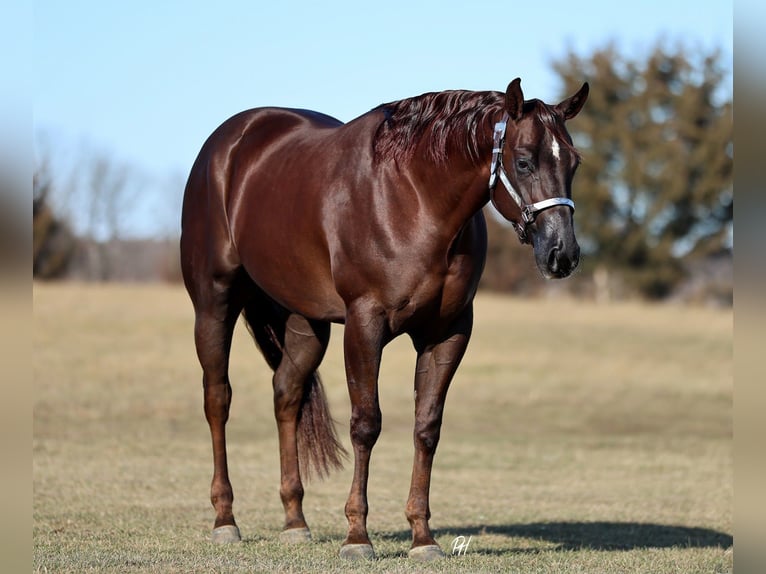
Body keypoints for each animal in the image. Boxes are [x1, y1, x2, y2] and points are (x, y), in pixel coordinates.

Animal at [180, 77, 589, 561]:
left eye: (574, 162)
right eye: (524, 161)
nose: (562, 254)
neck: (415, 199)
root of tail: (230, 141)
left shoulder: (448, 332)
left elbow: (426, 428)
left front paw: (423, 537)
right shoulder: (364, 323)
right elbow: (366, 424)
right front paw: (357, 537)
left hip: (306, 323)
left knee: (286, 396)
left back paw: (295, 521)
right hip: (214, 303)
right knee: (217, 399)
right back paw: (225, 519)